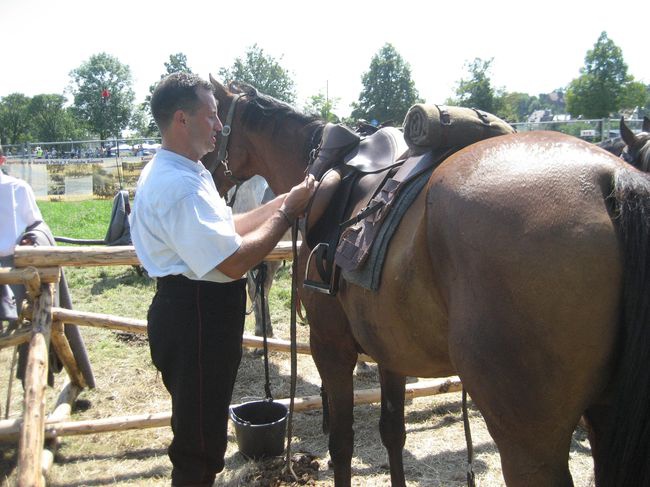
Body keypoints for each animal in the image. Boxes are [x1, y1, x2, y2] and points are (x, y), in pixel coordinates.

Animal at [204, 80, 650, 487]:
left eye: (215, 125)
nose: (208, 179)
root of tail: (608, 176)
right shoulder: (390, 349)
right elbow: (392, 433)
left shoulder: (331, 347)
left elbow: (342, 444)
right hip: (604, 416)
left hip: (529, 440)